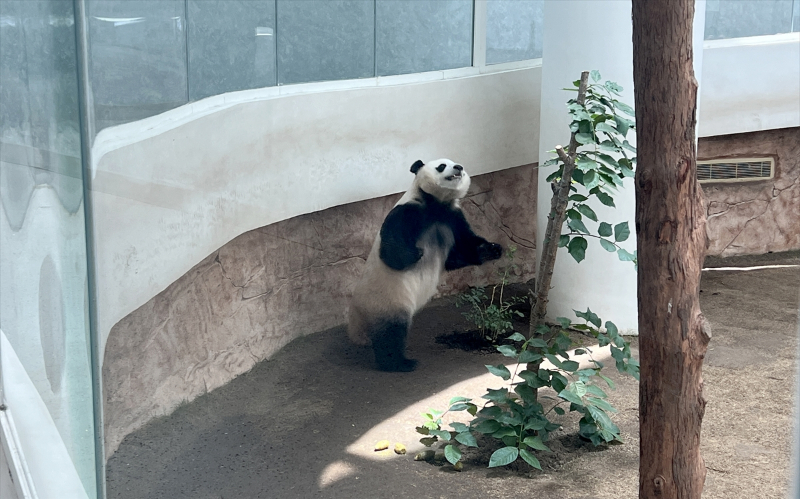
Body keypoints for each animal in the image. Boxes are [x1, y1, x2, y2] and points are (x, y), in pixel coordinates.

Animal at [348, 158, 503, 372]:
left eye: (457, 163)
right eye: (442, 165)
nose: (459, 168)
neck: (436, 204)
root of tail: (357, 315)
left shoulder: (453, 217)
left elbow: (461, 251)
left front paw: (492, 250)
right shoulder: (408, 212)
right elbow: (392, 255)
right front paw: (417, 253)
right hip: (388, 301)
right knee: (391, 332)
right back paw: (398, 363)